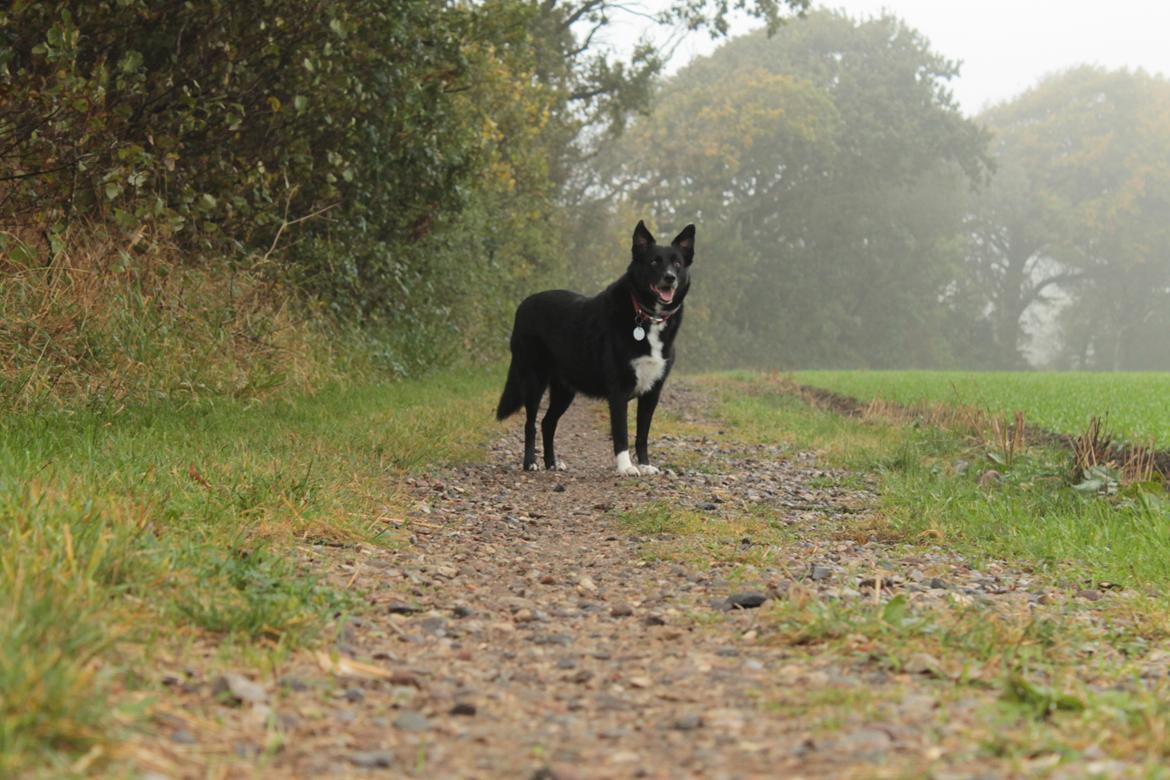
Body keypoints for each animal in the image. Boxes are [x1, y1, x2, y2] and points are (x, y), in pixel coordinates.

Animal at [496, 221, 692, 477]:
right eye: (654, 262)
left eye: (677, 263)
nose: (670, 278)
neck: (645, 315)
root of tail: (523, 305)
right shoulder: (618, 391)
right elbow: (621, 432)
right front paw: (626, 467)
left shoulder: (652, 392)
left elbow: (642, 434)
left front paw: (645, 464)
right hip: (533, 379)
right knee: (530, 424)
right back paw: (530, 462)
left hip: (565, 389)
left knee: (548, 423)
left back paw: (552, 462)